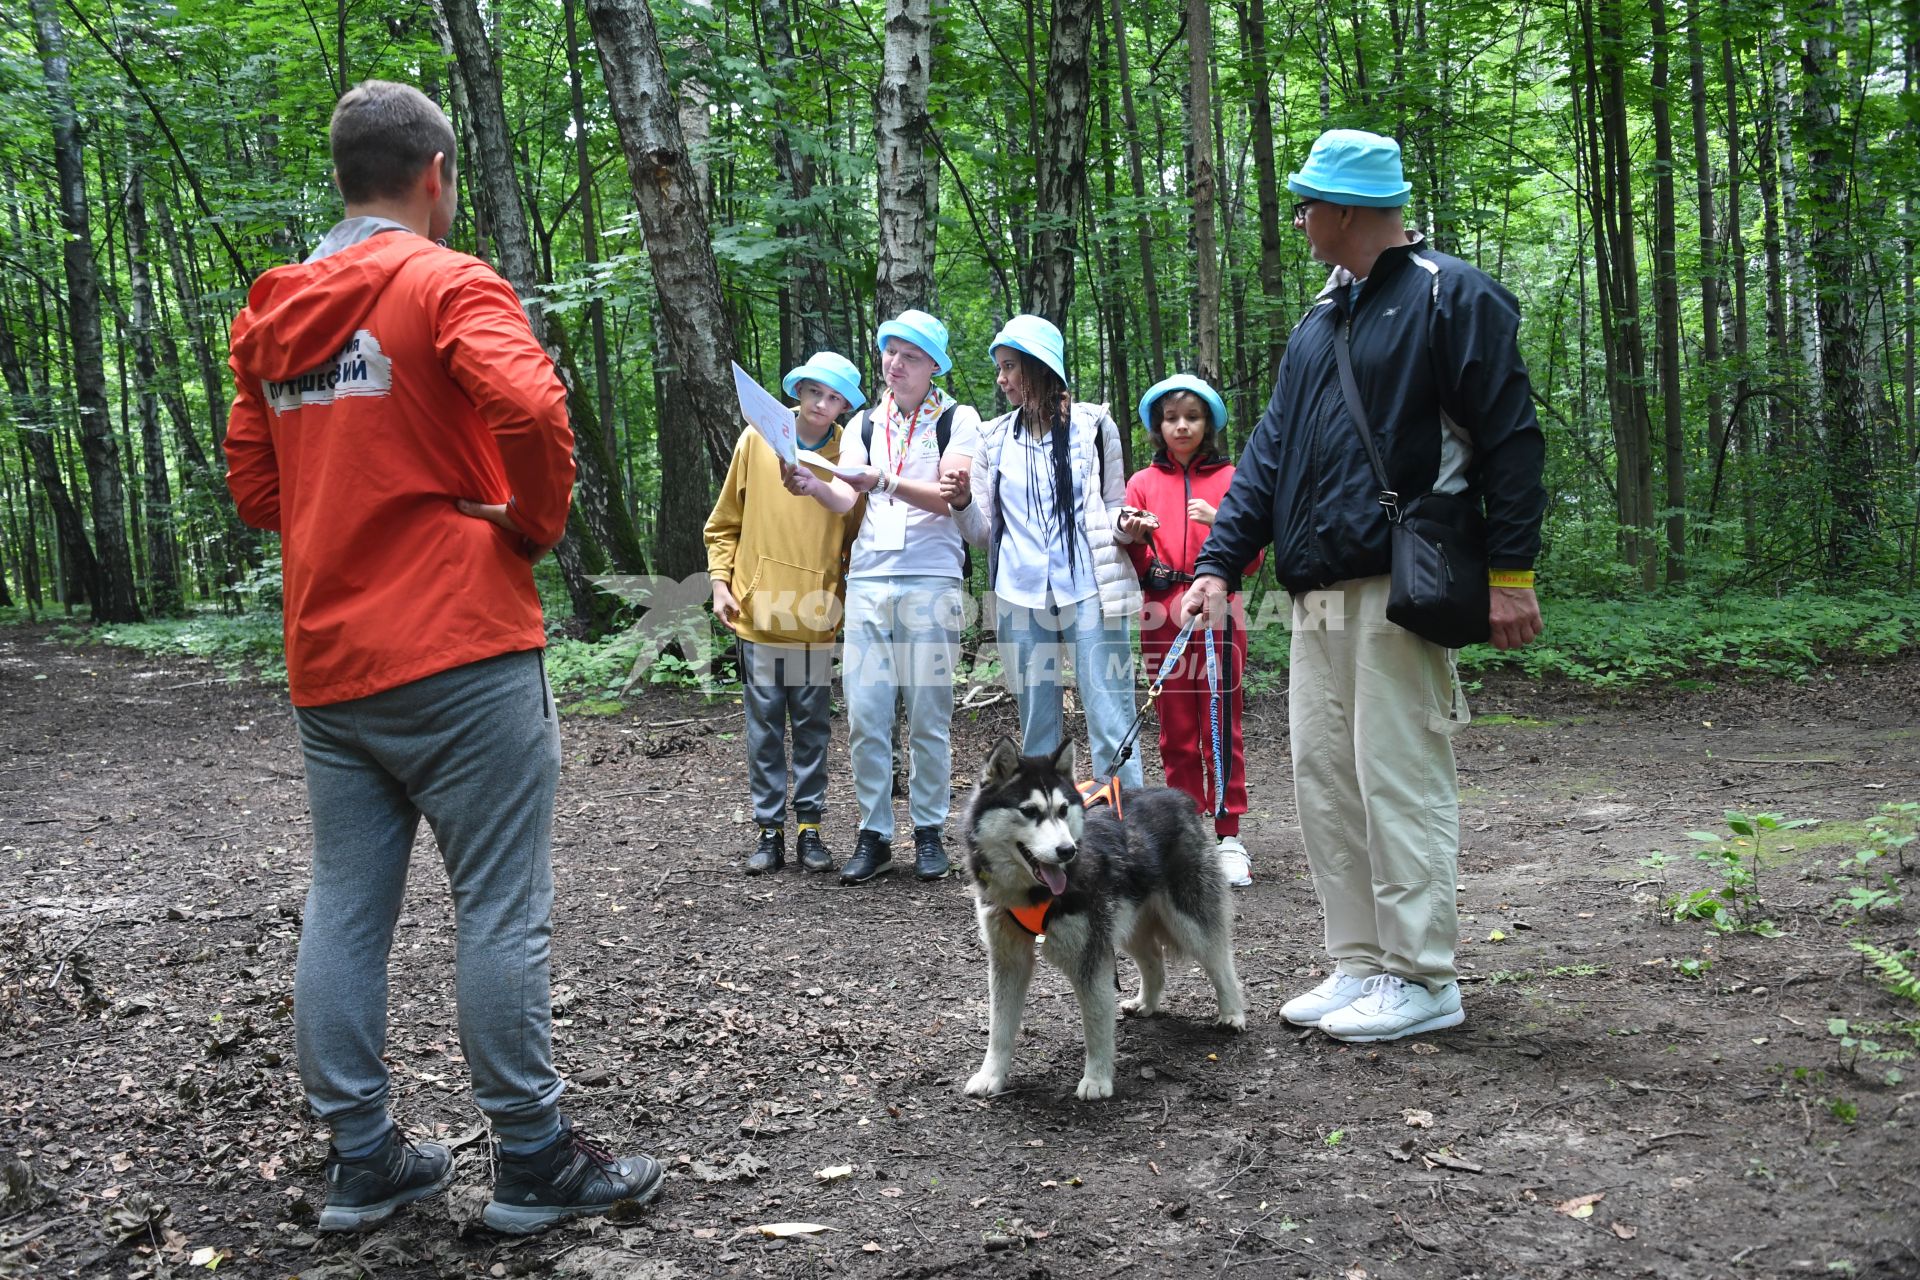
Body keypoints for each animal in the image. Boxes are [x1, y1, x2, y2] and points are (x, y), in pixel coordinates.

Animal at [960, 740, 1244, 1105]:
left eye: (1063, 810)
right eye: (1030, 811)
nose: (1066, 850)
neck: (1032, 894)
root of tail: (1177, 796)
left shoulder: (1090, 959)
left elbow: (1095, 1022)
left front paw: (1096, 1079)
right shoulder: (1008, 959)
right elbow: (999, 1026)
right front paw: (991, 1076)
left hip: (1187, 921)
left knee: (1220, 960)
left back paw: (1232, 1014)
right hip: (1126, 924)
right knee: (1154, 960)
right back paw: (1146, 1003)